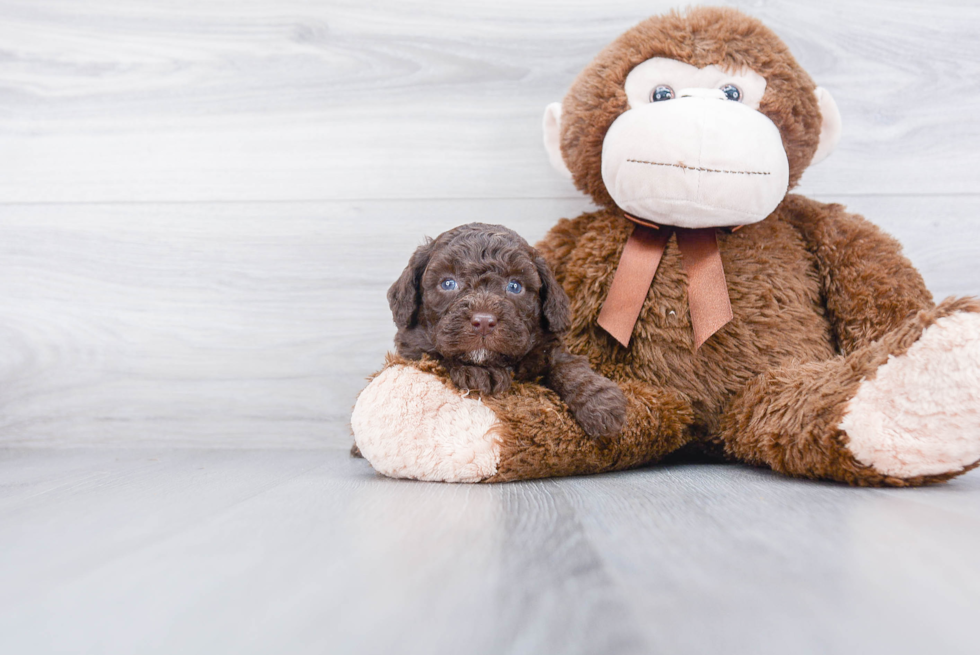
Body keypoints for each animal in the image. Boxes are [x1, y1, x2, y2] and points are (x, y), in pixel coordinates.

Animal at [386, 223, 624, 438]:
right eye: (448, 283)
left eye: (515, 286)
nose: (483, 321)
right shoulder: (413, 350)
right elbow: (438, 356)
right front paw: (480, 372)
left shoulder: (549, 349)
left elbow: (569, 367)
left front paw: (601, 403)